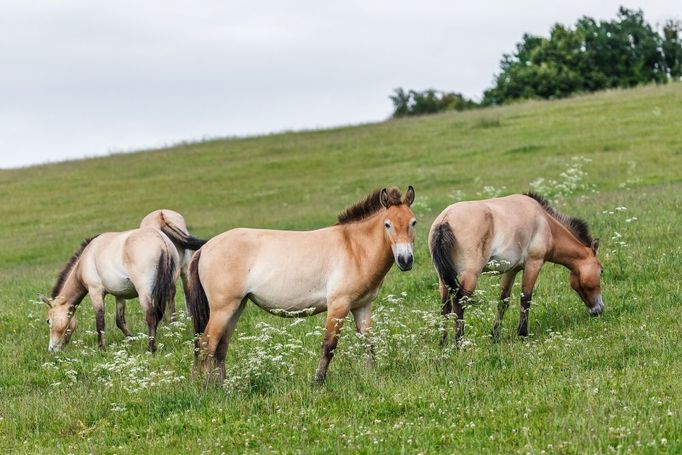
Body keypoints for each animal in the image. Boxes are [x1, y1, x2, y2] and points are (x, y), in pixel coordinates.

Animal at [42, 217, 201, 352]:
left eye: (48, 321)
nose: (52, 350)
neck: (84, 261)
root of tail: (161, 240)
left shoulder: (95, 292)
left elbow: (100, 322)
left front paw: (101, 348)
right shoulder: (120, 295)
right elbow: (119, 321)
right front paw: (132, 339)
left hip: (145, 292)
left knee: (151, 315)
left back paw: (151, 348)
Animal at [189, 186, 418, 384]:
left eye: (413, 222)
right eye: (387, 224)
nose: (405, 260)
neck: (354, 248)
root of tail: (205, 248)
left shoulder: (362, 306)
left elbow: (368, 343)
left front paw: (371, 376)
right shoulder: (339, 305)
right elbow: (329, 345)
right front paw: (318, 381)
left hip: (237, 307)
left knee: (220, 347)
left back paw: (224, 386)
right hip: (223, 308)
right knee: (207, 344)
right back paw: (208, 388)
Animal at [428, 192, 604, 346]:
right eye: (601, 271)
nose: (598, 310)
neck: (545, 222)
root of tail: (445, 219)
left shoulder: (511, 270)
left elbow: (503, 302)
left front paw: (495, 336)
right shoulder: (534, 264)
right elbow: (526, 299)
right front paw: (523, 334)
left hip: (443, 279)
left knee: (445, 307)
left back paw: (442, 344)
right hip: (470, 276)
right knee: (459, 304)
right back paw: (459, 344)